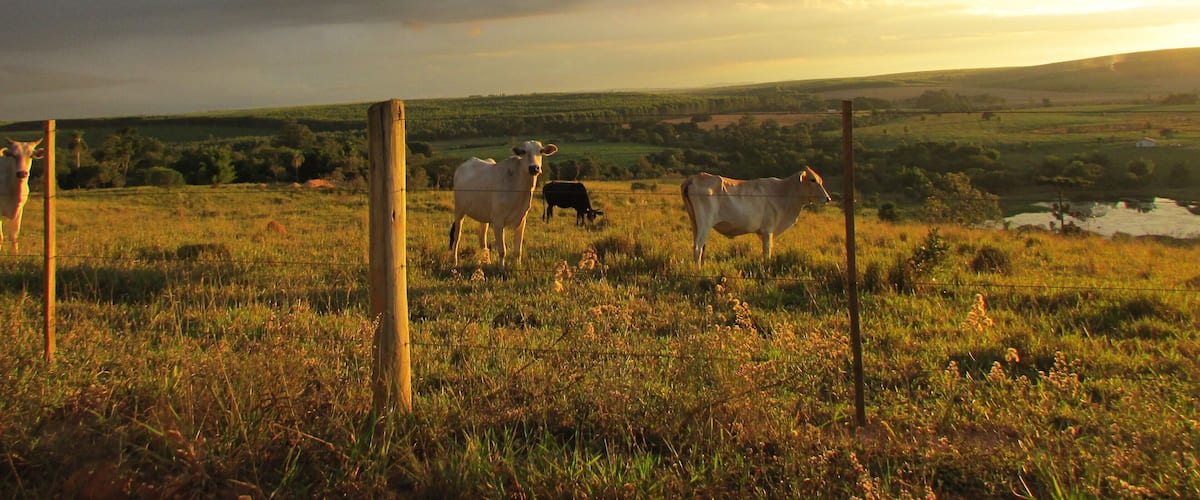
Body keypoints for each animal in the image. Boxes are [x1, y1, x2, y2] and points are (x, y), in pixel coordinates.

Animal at [681, 167, 831, 267]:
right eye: (812, 180)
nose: (828, 198)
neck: (783, 192)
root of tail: (695, 177)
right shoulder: (767, 231)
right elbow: (767, 253)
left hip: (695, 223)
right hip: (705, 224)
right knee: (698, 247)